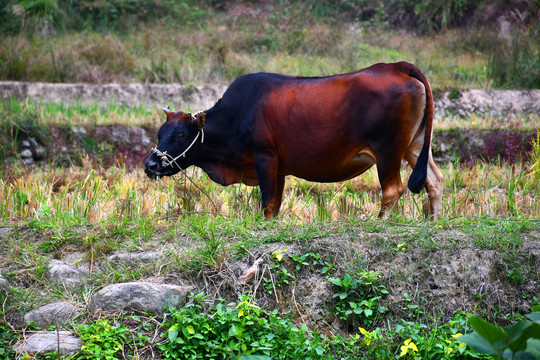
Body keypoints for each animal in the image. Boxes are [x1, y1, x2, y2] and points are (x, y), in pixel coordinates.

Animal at [142, 61, 442, 219]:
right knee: (434, 181)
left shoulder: (265, 158)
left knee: (393, 189)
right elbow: (275, 204)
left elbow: (266, 201)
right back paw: (434, 221)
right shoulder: (279, 168)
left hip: (388, 151)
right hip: (415, 145)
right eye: (160, 133)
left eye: (180, 135)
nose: (150, 165)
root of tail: (398, 67)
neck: (236, 116)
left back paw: (378, 221)